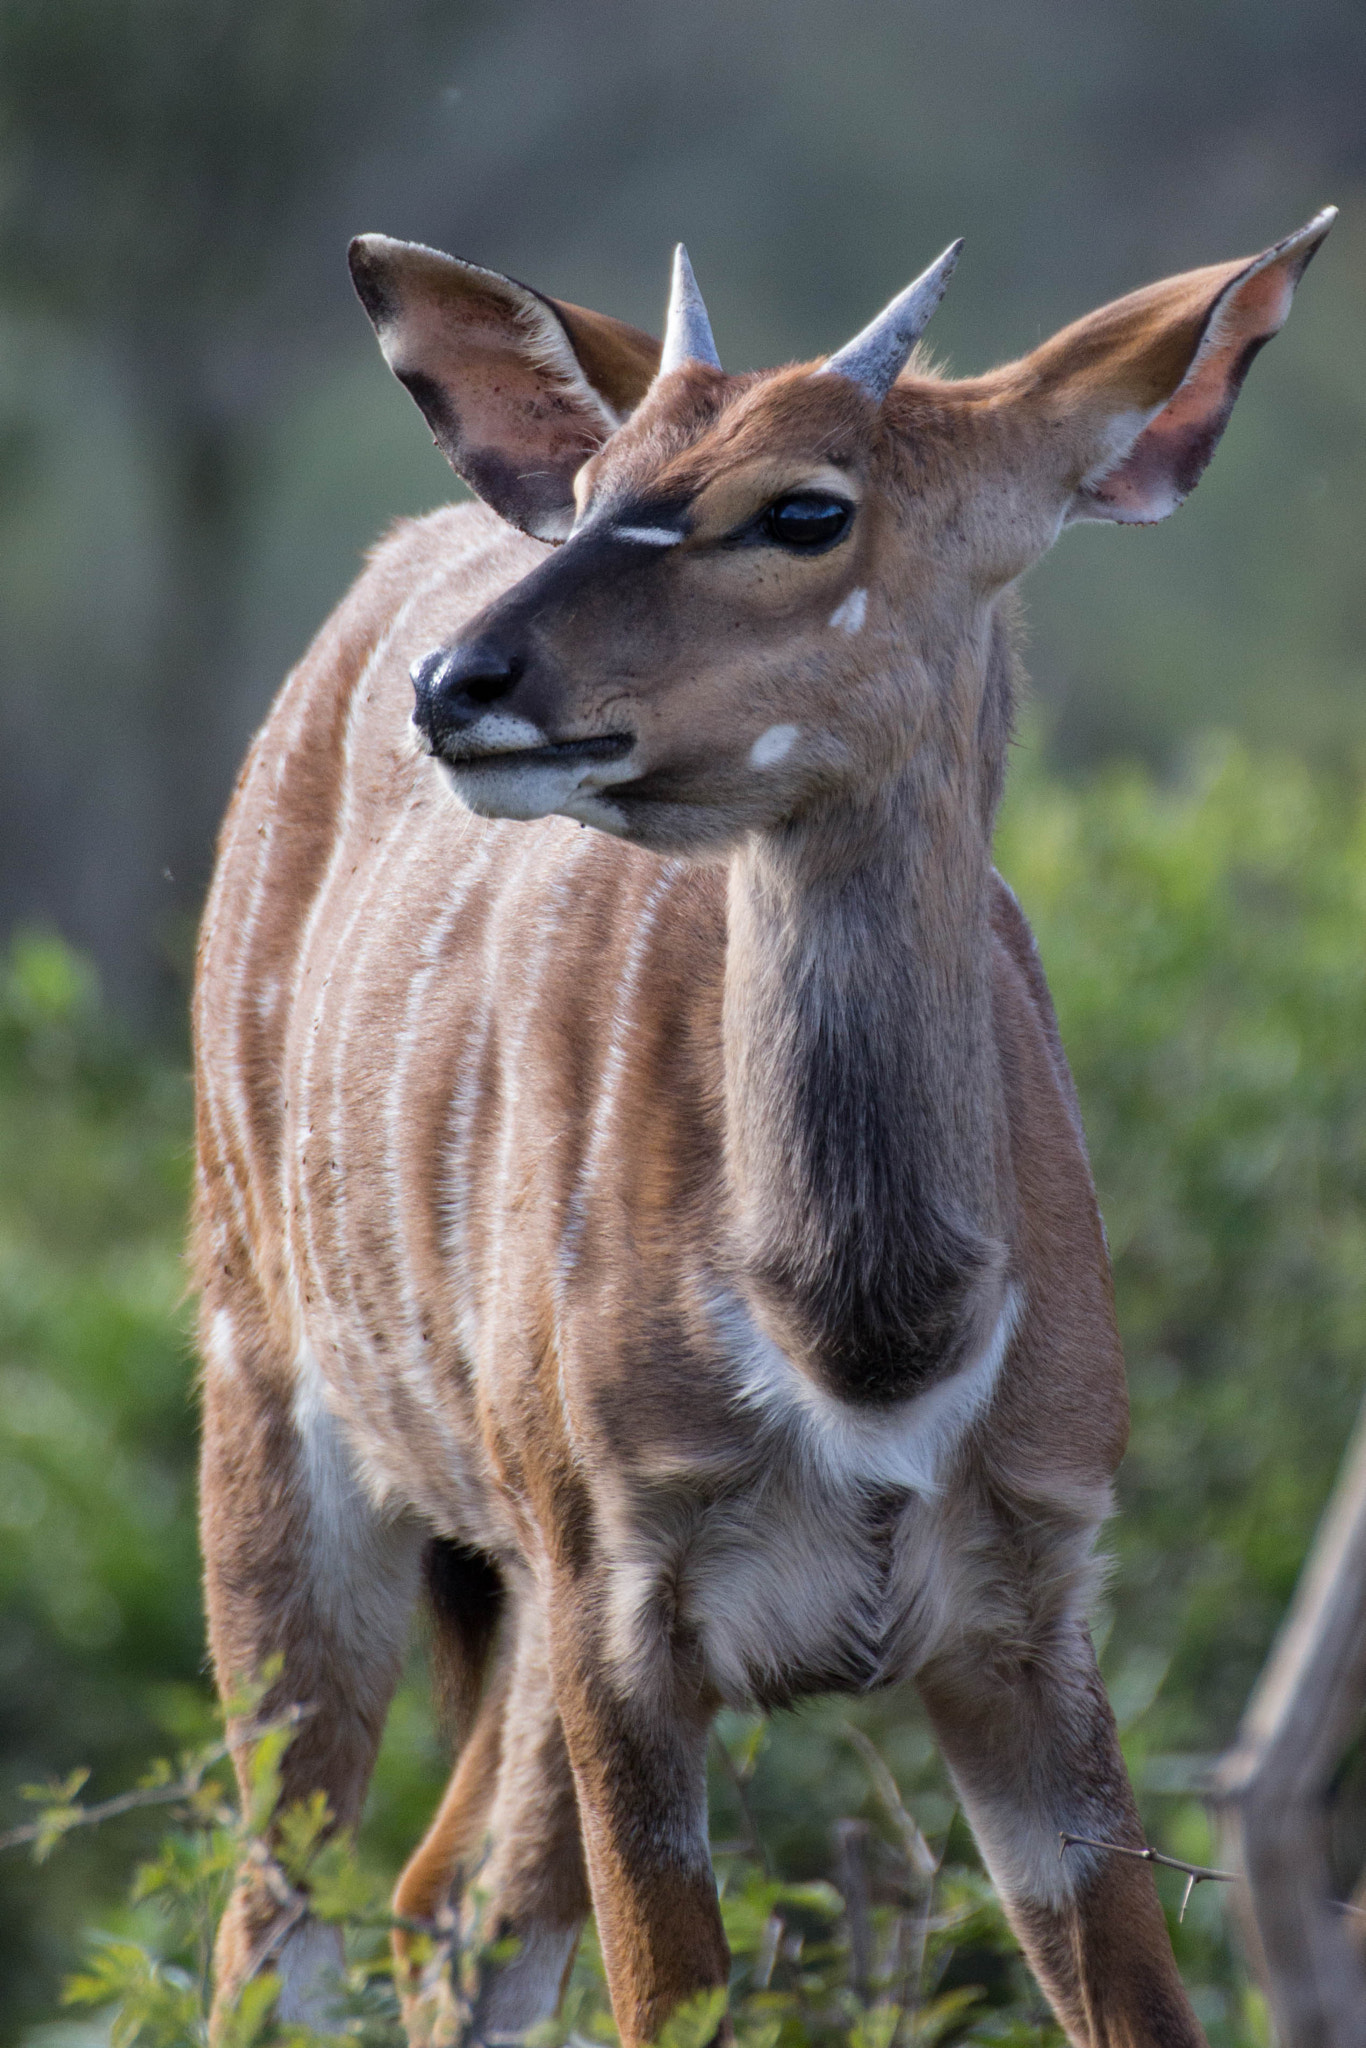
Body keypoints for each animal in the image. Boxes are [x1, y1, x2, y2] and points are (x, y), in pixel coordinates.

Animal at [194, 205, 1334, 2047]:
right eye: (600, 487)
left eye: (805, 506)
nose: (461, 683)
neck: (862, 1341)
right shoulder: (626, 1610)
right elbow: (670, 1995)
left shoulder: (1031, 1625)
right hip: (280, 1428)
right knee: (278, 1914)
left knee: (450, 1897)